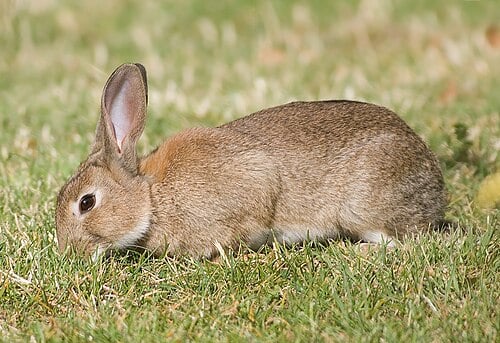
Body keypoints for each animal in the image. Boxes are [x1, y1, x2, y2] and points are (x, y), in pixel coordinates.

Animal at [54, 63, 446, 260]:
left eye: (86, 203)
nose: (69, 253)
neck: (152, 198)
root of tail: (435, 185)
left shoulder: (252, 184)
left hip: (363, 206)